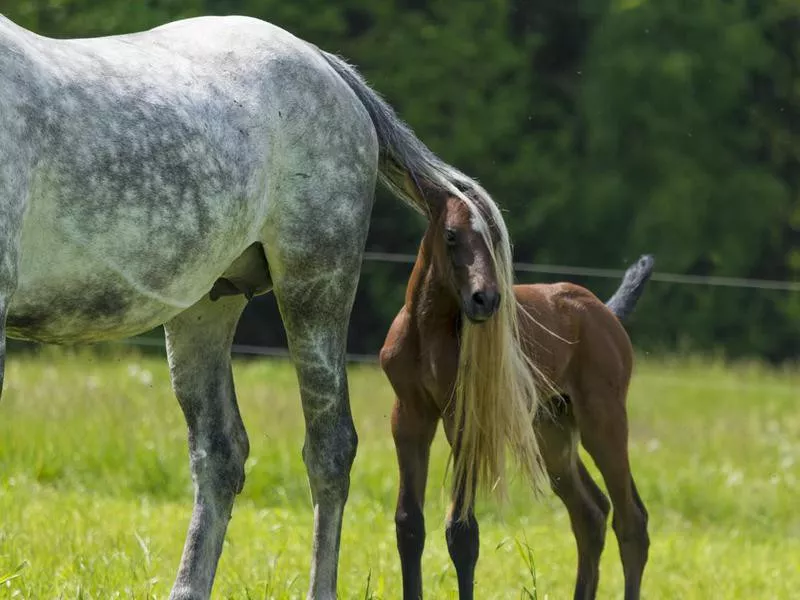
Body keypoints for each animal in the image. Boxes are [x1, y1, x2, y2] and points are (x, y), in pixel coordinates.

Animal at [382, 195, 656, 596]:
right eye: (451, 234)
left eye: (497, 236)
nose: (485, 299)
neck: (429, 331)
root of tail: (605, 312)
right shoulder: (408, 415)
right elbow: (409, 525)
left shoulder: (465, 420)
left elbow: (462, 533)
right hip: (550, 432)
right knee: (591, 512)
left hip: (602, 420)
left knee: (631, 520)